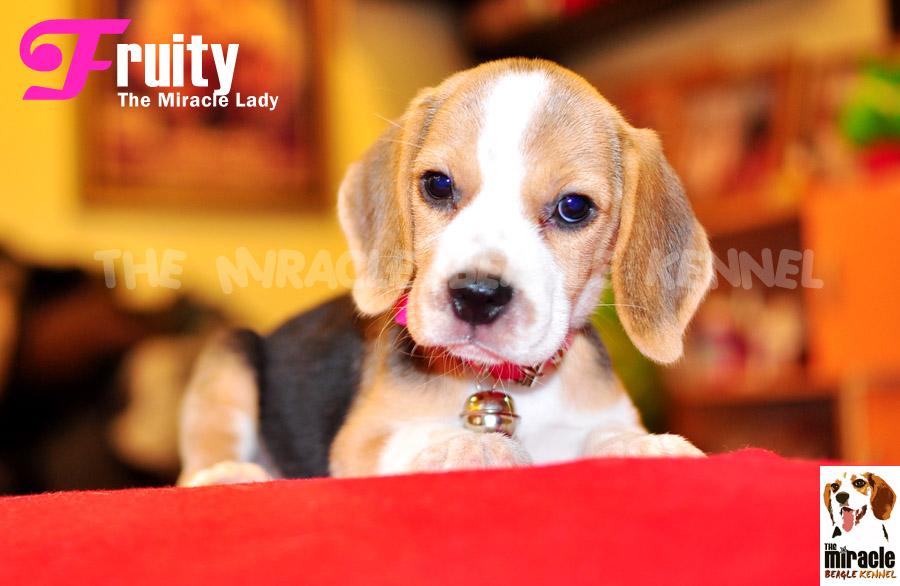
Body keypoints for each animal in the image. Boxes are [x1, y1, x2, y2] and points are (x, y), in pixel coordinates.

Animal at [178, 58, 714, 486]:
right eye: (437, 184)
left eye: (574, 208)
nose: (477, 295)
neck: (498, 383)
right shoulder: (365, 438)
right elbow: (421, 434)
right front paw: (471, 445)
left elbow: (603, 434)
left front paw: (649, 445)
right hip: (231, 356)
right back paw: (230, 472)